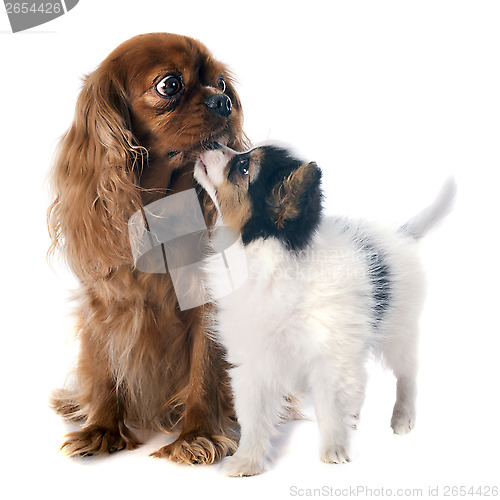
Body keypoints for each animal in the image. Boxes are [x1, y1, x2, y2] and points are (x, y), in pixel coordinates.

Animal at [48, 33, 248, 464]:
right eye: (169, 85)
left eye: (221, 83)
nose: (222, 101)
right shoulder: (104, 306)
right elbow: (106, 372)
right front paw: (102, 430)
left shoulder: (206, 307)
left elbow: (204, 372)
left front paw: (197, 435)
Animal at [193, 145, 456, 476]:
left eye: (243, 167)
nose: (211, 144)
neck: (273, 259)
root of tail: (401, 236)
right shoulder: (255, 359)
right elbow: (254, 414)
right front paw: (247, 460)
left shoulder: (331, 357)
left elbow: (330, 407)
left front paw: (334, 449)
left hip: (398, 329)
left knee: (407, 372)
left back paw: (403, 417)